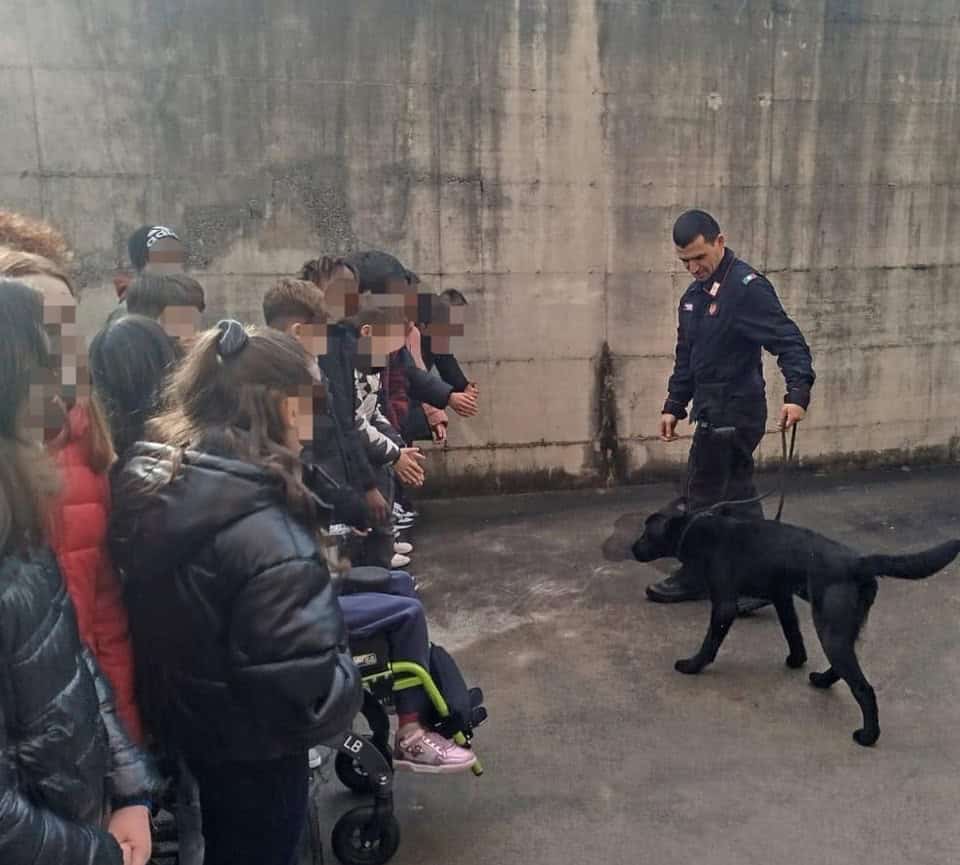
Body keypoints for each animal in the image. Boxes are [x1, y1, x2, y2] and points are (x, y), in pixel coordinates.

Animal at [632, 500, 960, 748]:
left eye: (646, 533)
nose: (632, 549)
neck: (695, 528)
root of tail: (858, 562)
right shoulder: (782, 597)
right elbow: (793, 632)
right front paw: (796, 659)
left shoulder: (724, 604)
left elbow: (710, 642)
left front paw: (692, 665)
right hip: (843, 627)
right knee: (844, 668)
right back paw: (822, 680)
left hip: (829, 628)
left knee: (863, 687)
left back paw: (868, 736)